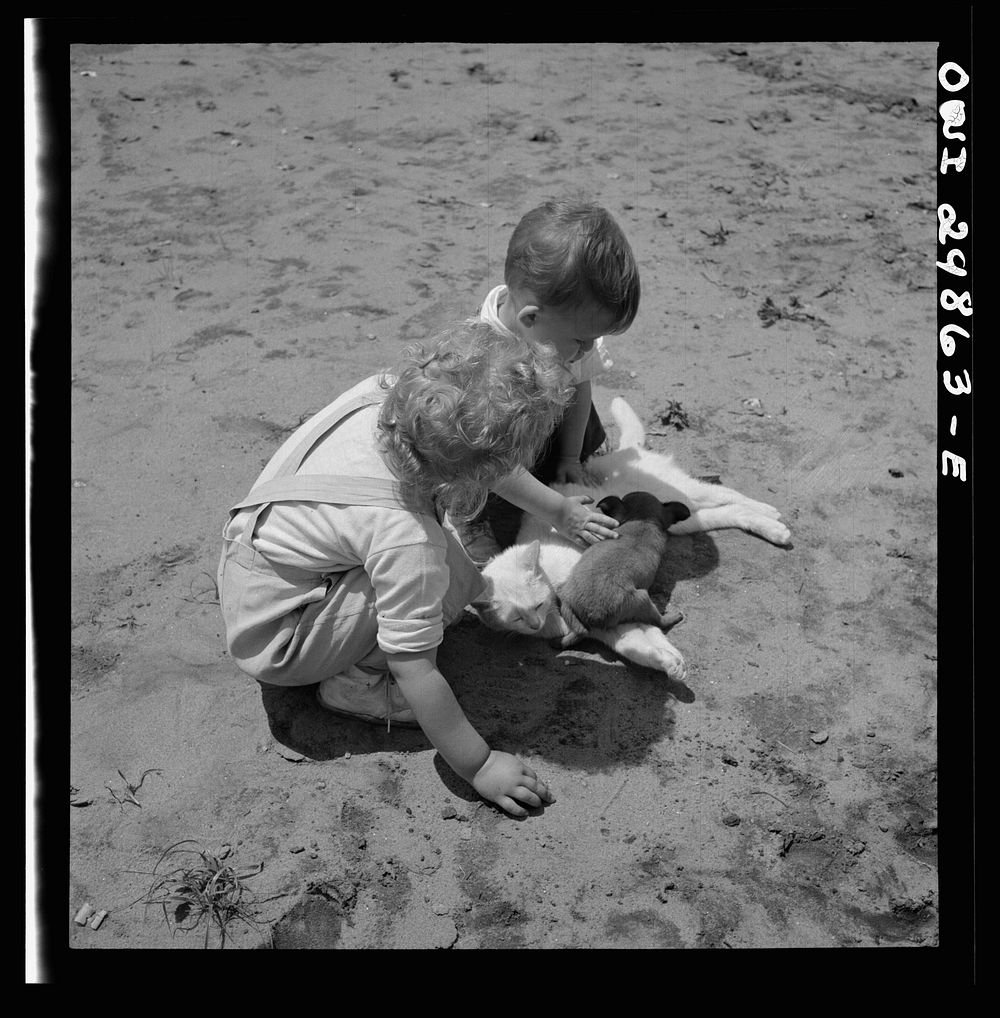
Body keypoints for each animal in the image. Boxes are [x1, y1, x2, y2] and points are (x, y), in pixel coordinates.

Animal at [553, 490, 688, 647]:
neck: (643, 520)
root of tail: (590, 619)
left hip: (564, 591)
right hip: (643, 598)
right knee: (659, 621)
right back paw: (673, 617)